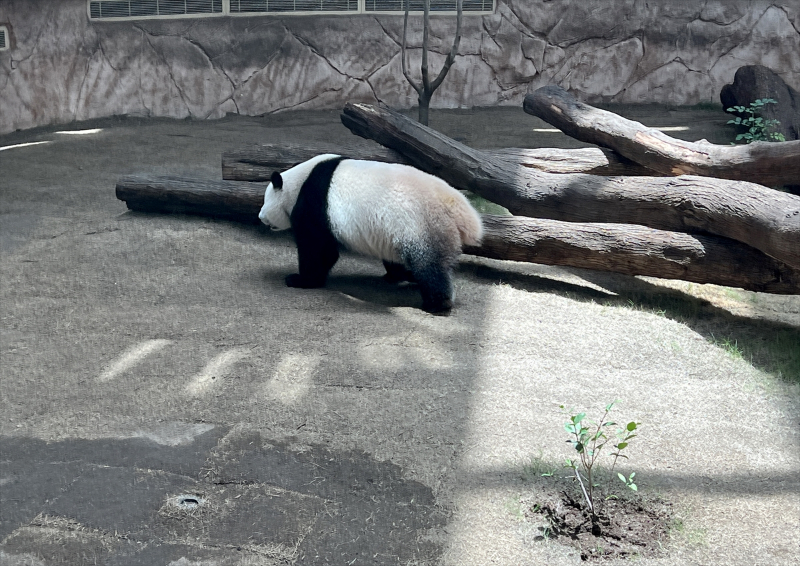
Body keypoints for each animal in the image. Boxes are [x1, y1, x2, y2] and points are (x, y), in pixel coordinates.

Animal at [258, 154, 483, 314]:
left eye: (265, 200)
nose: (261, 217)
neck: (300, 180)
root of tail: (460, 210)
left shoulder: (315, 202)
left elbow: (317, 247)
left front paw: (300, 280)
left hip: (424, 224)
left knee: (429, 265)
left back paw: (436, 304)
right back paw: (408, 276)